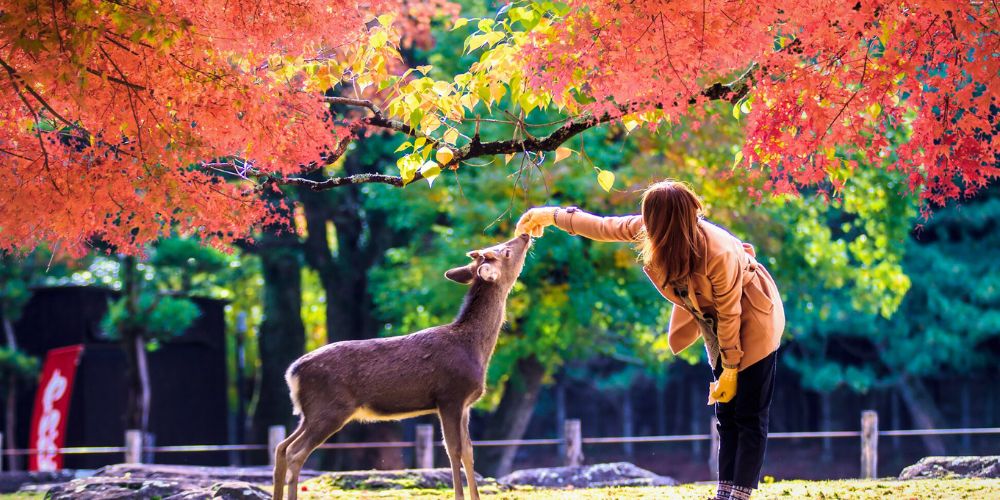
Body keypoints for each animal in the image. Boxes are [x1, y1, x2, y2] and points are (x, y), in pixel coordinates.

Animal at [274, 234, 532, 500]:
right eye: (505, 252)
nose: (524, 236)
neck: (475, 349)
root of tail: (292, 372)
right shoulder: (450, 396)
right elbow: (454, 450)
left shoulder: (466, 404)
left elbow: (469, 452)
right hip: (331, 408)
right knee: (295, 452)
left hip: (310, 412)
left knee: (281, 447)